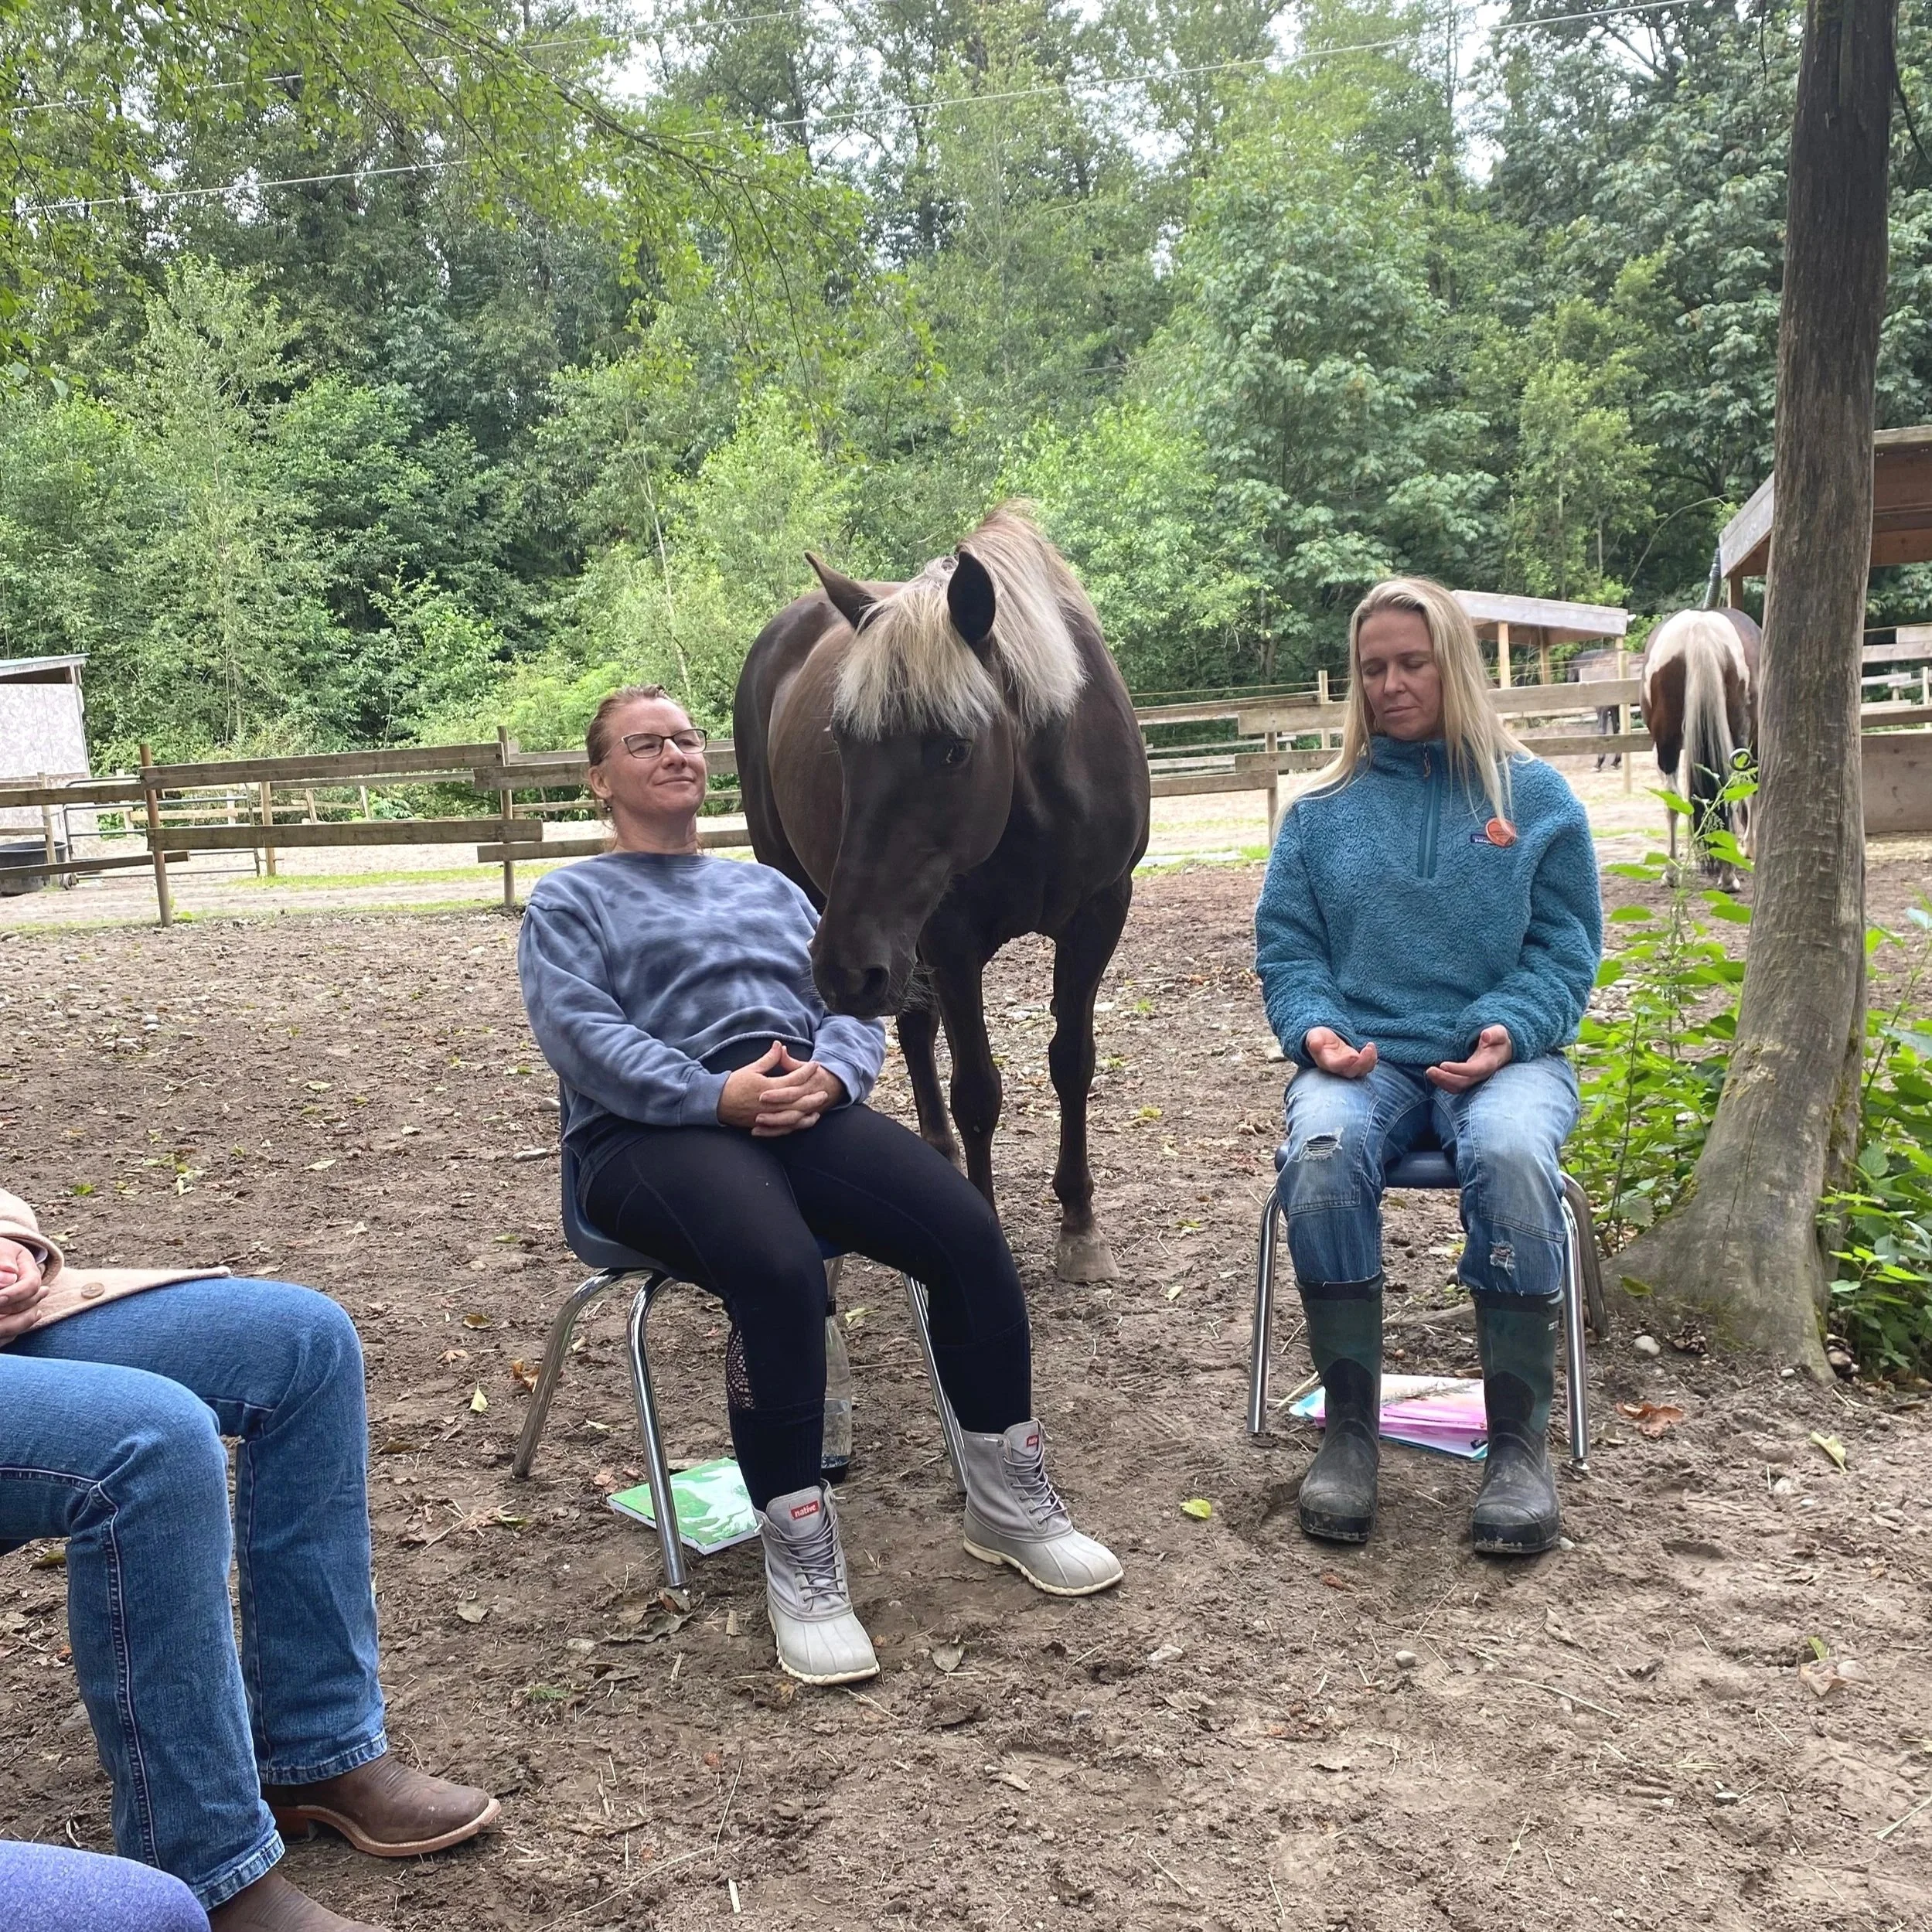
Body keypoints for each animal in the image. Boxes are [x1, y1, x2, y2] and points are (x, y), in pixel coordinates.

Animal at [733, 505, 1151, 1283]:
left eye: (954, 748)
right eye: (841, 740)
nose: (843, 969)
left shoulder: (1098, 917)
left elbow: (1072, 1062)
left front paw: (1079, 1224)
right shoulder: (949, 941)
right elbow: (978, 1090)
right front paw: (984, 1225)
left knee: (913, 1027)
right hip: (833, 902)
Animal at [1638, 607, 1761, 883]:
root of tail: (1700, 629)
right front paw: (1749, 847)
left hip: (1667, 741)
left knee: (1672, 798)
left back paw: (1673, 872)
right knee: (1731, 789)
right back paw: (1726, 875)